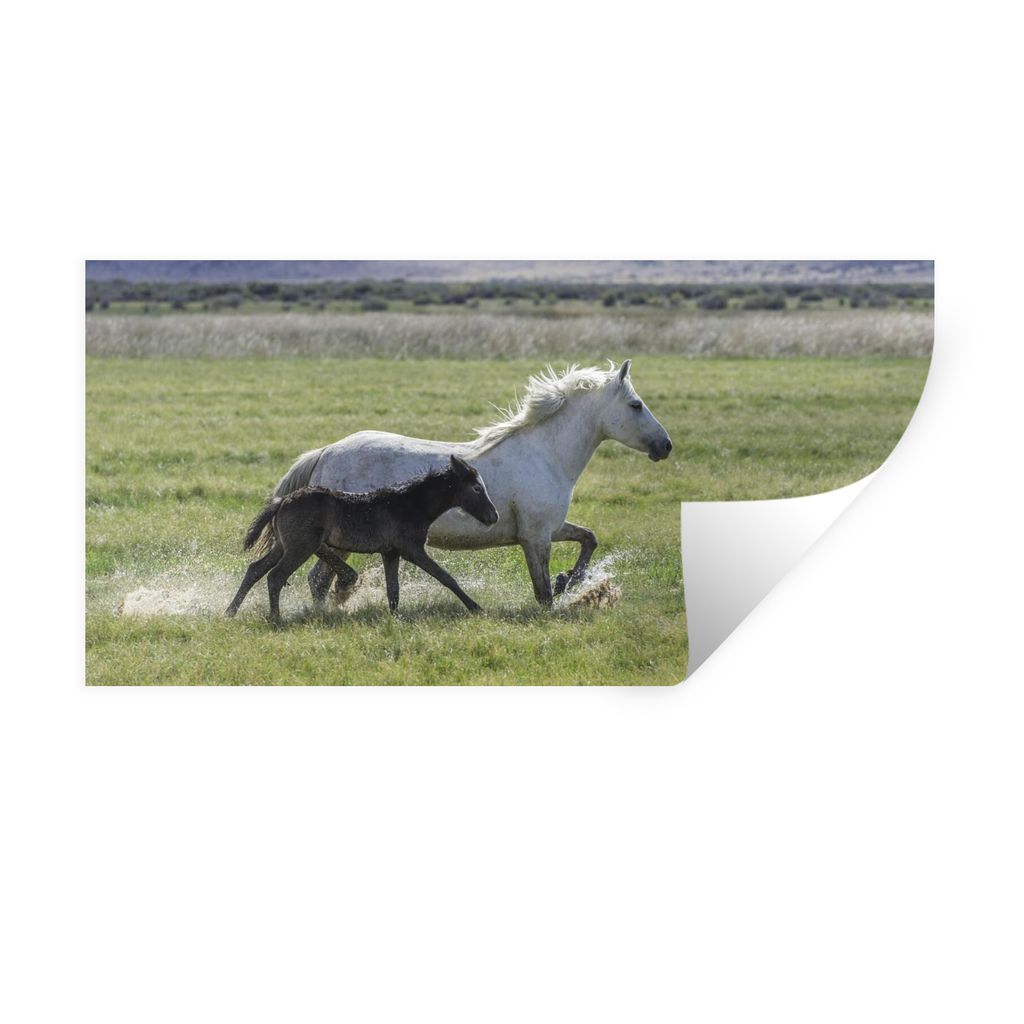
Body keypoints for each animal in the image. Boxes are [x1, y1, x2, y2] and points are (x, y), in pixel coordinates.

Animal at [225, 455, 498, 621]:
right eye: (477, 488)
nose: (493, 516)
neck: (411, 504)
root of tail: (281, 501)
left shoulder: (390, 552)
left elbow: (393, 590)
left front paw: (393, 616)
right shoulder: (412, 549)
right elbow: (445, 577)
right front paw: (476, 607)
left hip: (284, 545)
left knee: (255, 569)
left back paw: (230, 611)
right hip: (300, 547)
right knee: (275, 576)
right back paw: (275, 617)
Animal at [272, 359, 672, 608]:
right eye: (636, 405)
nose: (665, 446)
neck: (546, 455)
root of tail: (326, 452)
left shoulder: (549, 528)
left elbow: (588, 539)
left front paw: (569, 580)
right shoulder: (535, 536)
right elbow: (542, 592)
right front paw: (561, 590)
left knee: (319, 580)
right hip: (340, 540)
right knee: (318, 579)